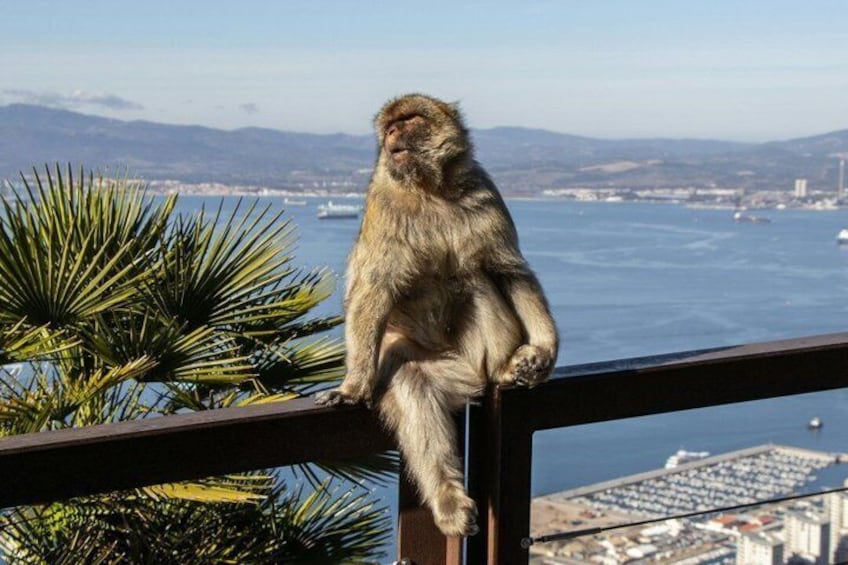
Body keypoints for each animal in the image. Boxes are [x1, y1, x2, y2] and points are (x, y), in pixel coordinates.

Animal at [314, 93, 559, 537]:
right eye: (389, 126)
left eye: (408, 119)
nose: (392, 133)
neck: (432, 190)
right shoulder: (384, 204)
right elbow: (373, 291)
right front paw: (352, 388)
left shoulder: (485, 193)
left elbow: (509, 271)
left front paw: (545, 351)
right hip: (418, 360)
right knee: (411, 378)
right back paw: (449, 500)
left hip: (469, 362)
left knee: (476, 278)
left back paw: (503, 369)